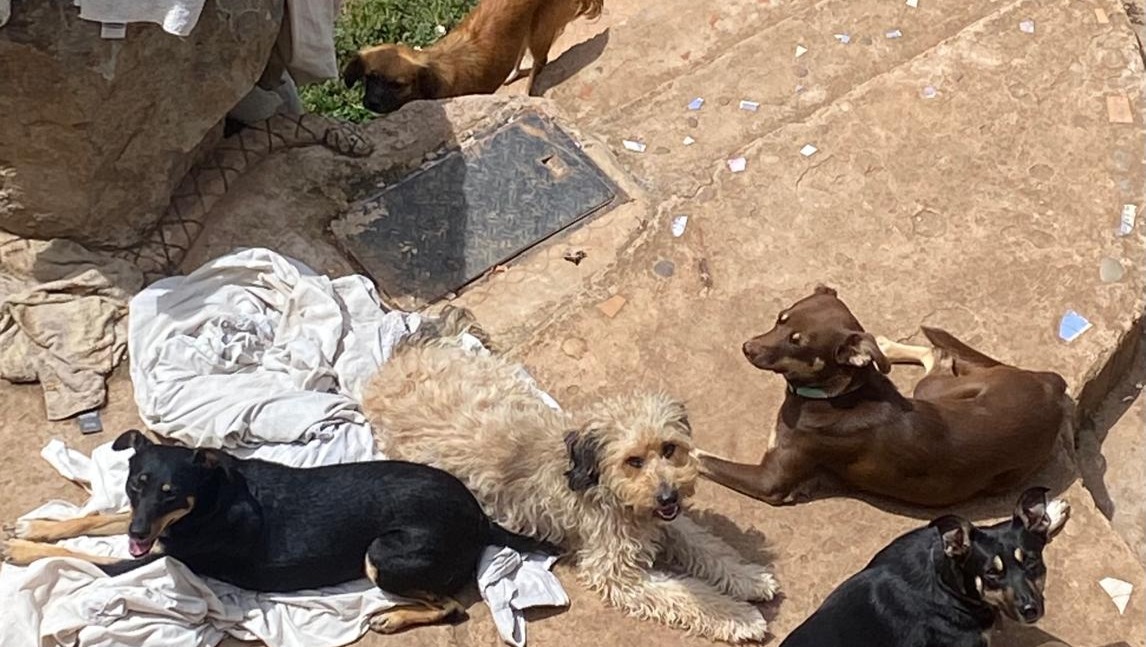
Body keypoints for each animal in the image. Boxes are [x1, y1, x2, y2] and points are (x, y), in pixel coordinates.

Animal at [3, 429, 556, 634]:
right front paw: (40, 525)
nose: (141, 528)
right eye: (136, 484)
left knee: (450, 606)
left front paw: (21, 548)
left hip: (381, 555)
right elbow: (100, 519)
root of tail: (479, 515)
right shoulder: (150, 532)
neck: (210, 499)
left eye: (171, 492)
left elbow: (89, 560)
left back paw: (393, 617)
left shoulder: (158, 554)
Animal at [361, 307, 780, 643]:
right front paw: (739, 616)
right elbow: (685, 594)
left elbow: (709, 547)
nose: (668, 497)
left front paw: (749, 578)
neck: (599, 483)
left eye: (668, 449)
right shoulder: (616, 571)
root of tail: (400, 359)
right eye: (633, 461)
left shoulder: (665, 521)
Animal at [698, 285, 1068, 508]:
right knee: (933, 352)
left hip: (932, 392)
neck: (836, 393)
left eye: (797, 342)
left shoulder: (770, 480)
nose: (747, 348)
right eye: (780, 318)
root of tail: (1050, 386)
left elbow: (703, 457)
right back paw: (885, 347)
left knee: (939, 355)